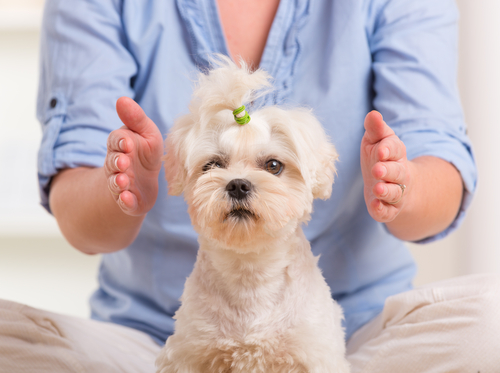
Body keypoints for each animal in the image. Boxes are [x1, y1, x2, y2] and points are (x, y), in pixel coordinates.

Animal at [158, 56, 350, 372]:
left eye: (273, 165)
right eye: (212, 165)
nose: (238, 184)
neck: (249, 274)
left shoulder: (313, 353)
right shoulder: (190, 352)